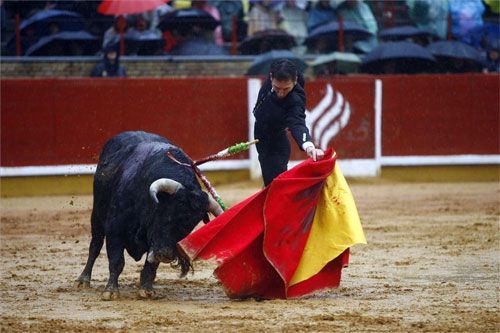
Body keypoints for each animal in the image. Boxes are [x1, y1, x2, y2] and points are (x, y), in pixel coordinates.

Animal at [74, 130, 223, 298]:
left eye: (190, 226)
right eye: (168, 215)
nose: (166, 255)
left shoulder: (156, 241)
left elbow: (151, 265)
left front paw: (146, 289)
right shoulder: (115, 229)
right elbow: (116, 260)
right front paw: (111, 291)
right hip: (97, 215)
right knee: (95, 245)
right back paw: (83, 280)